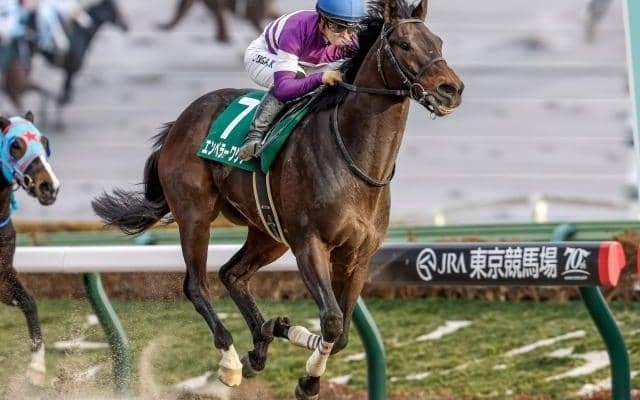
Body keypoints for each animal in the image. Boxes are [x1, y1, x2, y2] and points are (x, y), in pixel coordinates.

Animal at [92, 0, 463, 398]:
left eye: (438, 41)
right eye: (404, 44)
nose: (451, 89)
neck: (356, 160)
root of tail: (179, 122)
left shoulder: (357, 256)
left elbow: (343, 334)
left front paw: (293, 343)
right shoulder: (310, 244)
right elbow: (332, 321)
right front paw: (307, 378)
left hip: (269, 233)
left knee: (232, 274)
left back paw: (263, 340)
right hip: (195, 216)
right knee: (196, 285)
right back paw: (231, 361)